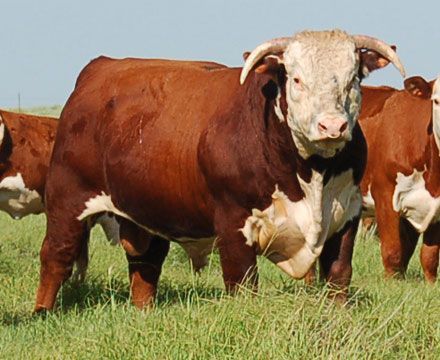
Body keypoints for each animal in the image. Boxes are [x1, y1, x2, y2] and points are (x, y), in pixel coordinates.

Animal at [34, 29, 406, 310]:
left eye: (353, 79)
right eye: (297, 79)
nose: (332, 126)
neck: (311, 172)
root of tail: (100, 67)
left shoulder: (346, 216)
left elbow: (339, 276)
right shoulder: (233, 221)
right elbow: (242, 283)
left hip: (148, 213)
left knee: (146, 265)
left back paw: (144, 312)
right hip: (67, 198)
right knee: (56, 256)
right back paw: (43, 312)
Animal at [360, 76, 440, 284]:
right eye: (436, 101)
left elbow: (429, 256)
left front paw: (430, 284)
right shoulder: (385, 196)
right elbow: (393, 250)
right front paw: (391, 284)